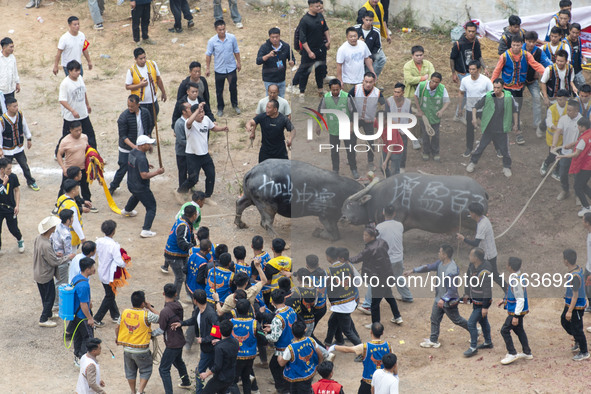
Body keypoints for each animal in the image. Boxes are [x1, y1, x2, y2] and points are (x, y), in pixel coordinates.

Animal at [234, 159, 364, 240]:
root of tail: (252, 171)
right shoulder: (325, 215)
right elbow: (335, 234)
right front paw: (317, 233)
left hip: (249, 198)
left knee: (239, 203)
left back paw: (241, 224)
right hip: (267, 205)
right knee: (266, 222)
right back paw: (279, 239)